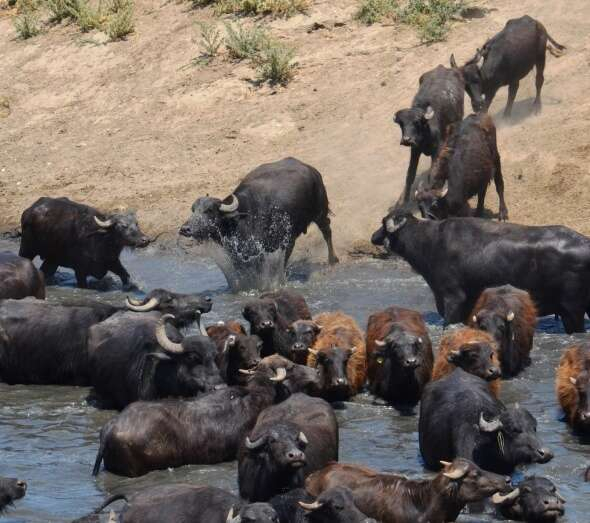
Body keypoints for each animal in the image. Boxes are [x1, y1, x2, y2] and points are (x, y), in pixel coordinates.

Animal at [19, 197, 149, 288]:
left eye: (136, 224)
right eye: (123, 226)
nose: (145, 240)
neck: (101, 241)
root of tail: (28, 211)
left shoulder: (112, 262)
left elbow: (125, 275)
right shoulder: (80, 270)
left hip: (52, 259)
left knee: (45, 271)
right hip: (27, 249)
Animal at [179, 157, 339, 270]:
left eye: (209, 210)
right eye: (193, 210)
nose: (185, 229)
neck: (242, 220)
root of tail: (313, 171)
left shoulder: (286, 242)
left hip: (320, 212)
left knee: (327, 231)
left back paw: (332, 260)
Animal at [393, 65, 464, 205]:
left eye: (416, 122)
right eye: (401, 124)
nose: (406, 140)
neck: (426, 137)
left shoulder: (438, 150)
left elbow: (433, 172)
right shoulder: (415, 150)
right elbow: (410, 174)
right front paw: (404, 201)